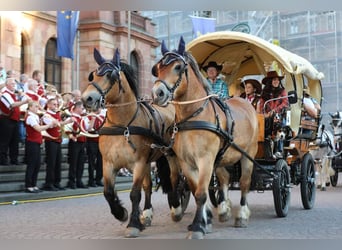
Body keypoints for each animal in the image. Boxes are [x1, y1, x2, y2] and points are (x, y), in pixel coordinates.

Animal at [81, 47, 176, 238]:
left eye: (110, 75)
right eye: (92, 75)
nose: (87, 99)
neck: (122, 125)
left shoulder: (138, 163)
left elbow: (134, 194)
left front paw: (132, 223)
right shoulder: (108, 163)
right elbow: (108, 192)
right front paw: (121, 213)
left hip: (166, 156)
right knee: (148, 186)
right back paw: (146, 213)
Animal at [151, 36, 258, 238]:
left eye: (178, 67)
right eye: (158, 68)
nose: (157, 93)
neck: (194, 116)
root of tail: (245, 102)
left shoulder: (205, 159)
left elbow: (201, 193)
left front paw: (198, 227)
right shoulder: (186, 162)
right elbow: (197, 191)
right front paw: (204, 221)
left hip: (248, 155)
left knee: (244, 183)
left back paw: (242, 215)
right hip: (223, 157)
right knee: (224, 179)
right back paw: (223, 210)